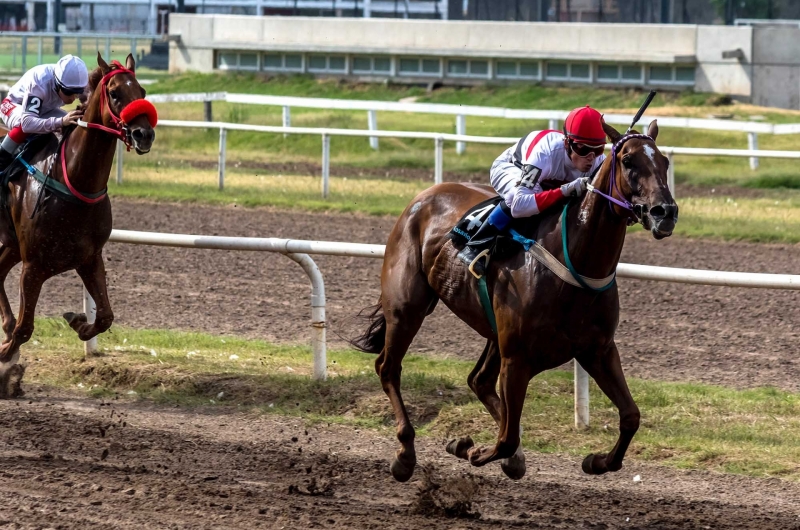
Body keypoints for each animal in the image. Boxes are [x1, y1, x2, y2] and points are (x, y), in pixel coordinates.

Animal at [0, 53, 156, 392]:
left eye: (142, 91)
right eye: (115, 93)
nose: (144, 134)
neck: (73, 181)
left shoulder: (89, 258)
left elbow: (106, 317)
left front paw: (78, 321)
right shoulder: (33, 266)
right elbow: (24, 329)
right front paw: (5, 358)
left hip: (12, 245)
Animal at [354, 118, 680, 478]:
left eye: (664, 162)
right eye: (628, 161)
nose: (664, 212)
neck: (574, 263)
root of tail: (423, 196)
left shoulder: (599, 350)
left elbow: (630, 416)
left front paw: (597, 461)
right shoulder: (518, 358)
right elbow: (507, 437)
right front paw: (471, 449)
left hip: (493, 332)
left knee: (479, 381)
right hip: (407, 308)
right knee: (388, 367)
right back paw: (405, 454)